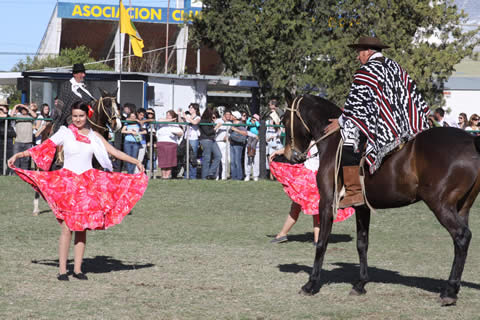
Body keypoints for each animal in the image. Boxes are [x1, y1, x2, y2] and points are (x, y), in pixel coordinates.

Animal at [282, 93, 480, 304]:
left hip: (440, 205)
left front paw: (311, 284)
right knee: (461, 242)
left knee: (462, 236)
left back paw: (449, 291)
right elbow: (362, 243)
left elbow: (321, 242)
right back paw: (453, 288)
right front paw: (360, 284)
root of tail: (471, 141)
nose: (290, 156)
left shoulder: (327, 203)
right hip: (461, 207)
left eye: (285, 120)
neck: (335, 142)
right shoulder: (362, 207)